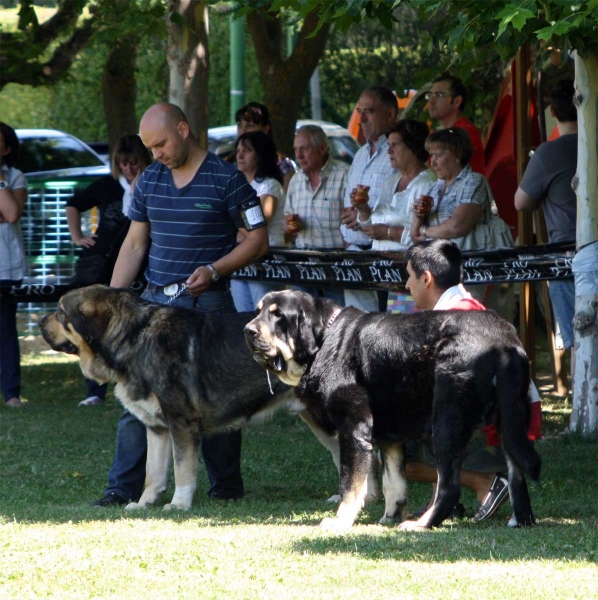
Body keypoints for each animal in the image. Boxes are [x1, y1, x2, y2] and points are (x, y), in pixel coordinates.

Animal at [39, 284, 308, 510]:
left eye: (61, 313)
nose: (40, 321)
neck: (135, 339)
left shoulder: (181, 423)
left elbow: (182, 469)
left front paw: (179, 504)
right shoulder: (156, 428)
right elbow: (152, 472)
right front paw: (144, 504)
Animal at [244, 290, 544, 528]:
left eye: (278, 315)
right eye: (258, 311)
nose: (248, 330)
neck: (324, 340)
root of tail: (503, 340)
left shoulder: (354, 428)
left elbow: (350, 485)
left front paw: (341, 521)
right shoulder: (389, 437)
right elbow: (394, 484)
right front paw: (390, 516)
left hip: (446, 423)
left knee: (449, 487)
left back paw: (422, 524)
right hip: (510, 423)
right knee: (516, 476)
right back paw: (521, 521)